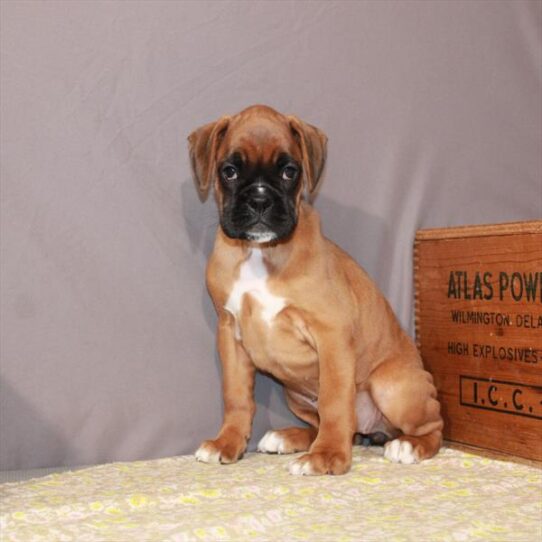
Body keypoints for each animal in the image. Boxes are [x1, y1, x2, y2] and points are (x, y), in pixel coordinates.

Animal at [189, 105, 444, 476]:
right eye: (230, 171)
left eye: (289, 171)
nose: (260, 199)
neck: (261, 252)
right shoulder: (230, 335)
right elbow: (236, 397)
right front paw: (228, 443)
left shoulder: (331, 335)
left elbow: (335, 401)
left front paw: (327, 456)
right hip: (295, 394)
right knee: (324, 423)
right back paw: (289, 437)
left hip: (391, 386)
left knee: (433, 426)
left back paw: (408, 445)